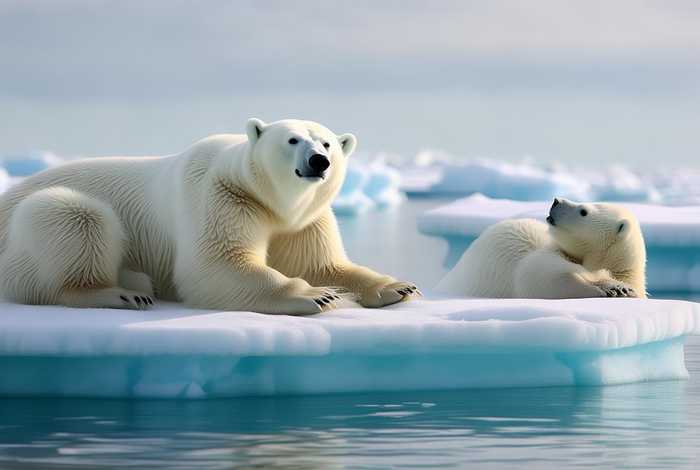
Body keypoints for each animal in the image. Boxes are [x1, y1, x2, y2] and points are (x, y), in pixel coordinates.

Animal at [0, 118, 420, 314]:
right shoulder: (222, 197)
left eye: (328, 142)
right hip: (44, 218)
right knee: (75, 216)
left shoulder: (304, 221)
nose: (319, 161)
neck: (270, 199)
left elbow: (321, 262)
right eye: (293, 140)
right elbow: (217, 264)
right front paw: (317, 295)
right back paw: (124, 291)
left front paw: (398, 287)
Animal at [436, 198, 646, 299]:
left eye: (583, 211)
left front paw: (618, 287)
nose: (556, 201)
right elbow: (542, 276)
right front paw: (612, 288)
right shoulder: (541, 258)